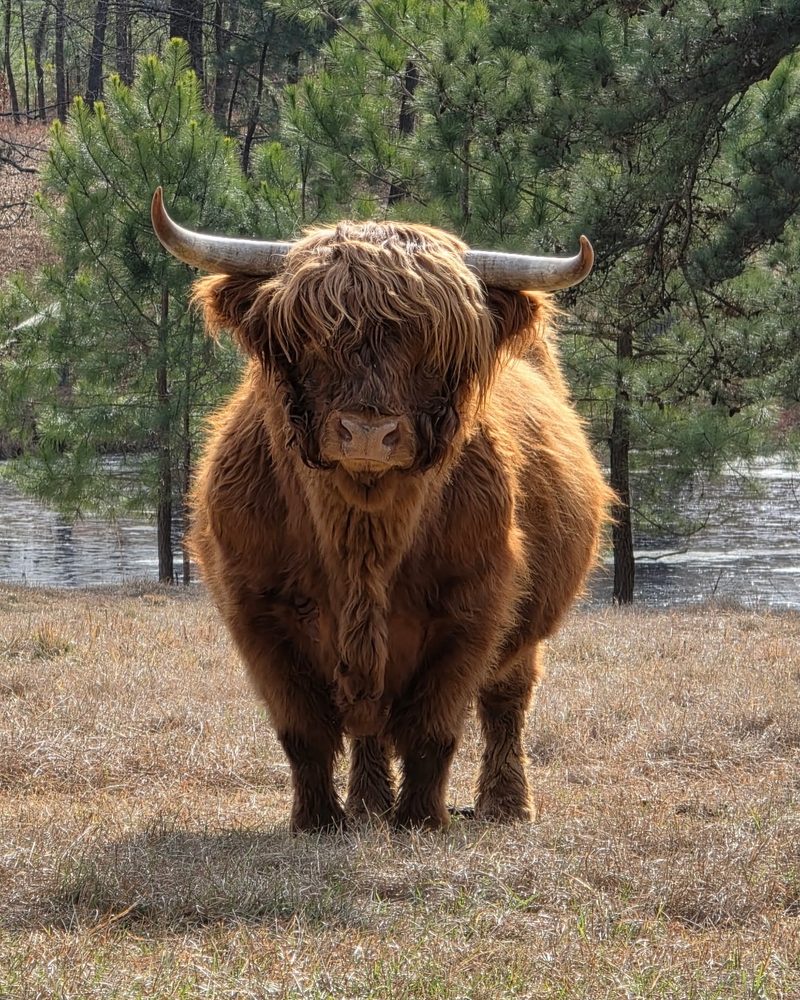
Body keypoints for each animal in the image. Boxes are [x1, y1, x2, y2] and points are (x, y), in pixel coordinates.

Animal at [151, 188, 612, 831]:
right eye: (314, 340)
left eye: (430, 350)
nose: (368, 433)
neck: (363, 542)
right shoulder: (258, 611)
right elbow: (303, 731)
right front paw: (317, 820)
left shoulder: (474, 608)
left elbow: (433, 730)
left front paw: (421, 819)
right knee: (368, 727)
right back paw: (368, 804)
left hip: (527, 632)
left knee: (507, 701)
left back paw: (504, 804)